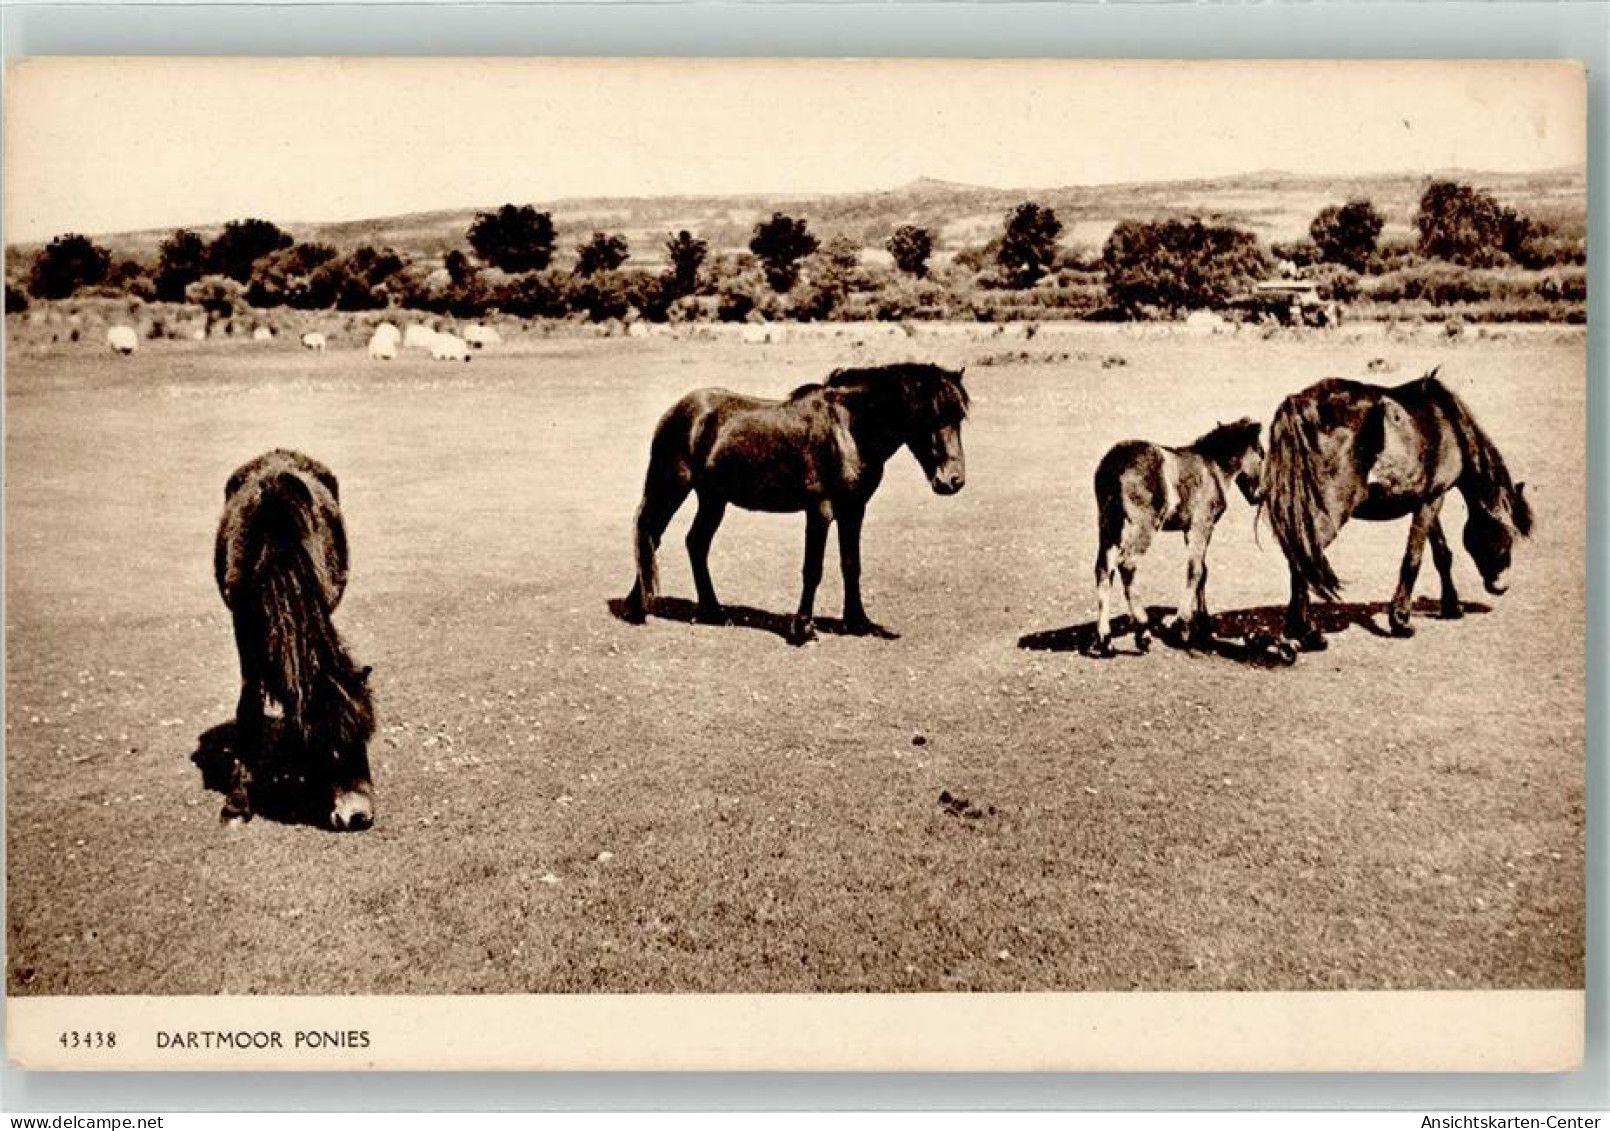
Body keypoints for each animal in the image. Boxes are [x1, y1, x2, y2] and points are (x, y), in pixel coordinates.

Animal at [214, 451, 376, 831]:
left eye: (364, 739)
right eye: (330, 748)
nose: (358, 816)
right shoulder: (242, 625)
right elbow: (249, 707)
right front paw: (236, 805)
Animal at [618, 365, 966, 647]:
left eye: (960, 417)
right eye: (931, 415)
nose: (953, 481)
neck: (848, 430)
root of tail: (676, 410)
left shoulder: (854, 509)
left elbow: (851, 564)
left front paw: (858, 622)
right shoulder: (821, 509)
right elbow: (813, 569)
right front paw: (803, 629)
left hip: (713, 498)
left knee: (694, 543)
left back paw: (712, 611)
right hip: (672, 487)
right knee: (651, 534)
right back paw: (638, 608)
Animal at [1088, 415, 1262, 657]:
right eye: (1262, 455)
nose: (1260, 495)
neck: (1213, 467)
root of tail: (1113, 466)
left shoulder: (1191, 530)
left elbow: (1203, 571)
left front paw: (1203, 622)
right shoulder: (1200, 526)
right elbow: (1195, 571)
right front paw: (1182, 626)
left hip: (1109, 524)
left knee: (1104, 569)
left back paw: (1106, 640)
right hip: (1143, 525)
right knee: (1127, 564)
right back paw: (1142, 632)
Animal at [1255, 370, 1532, 657]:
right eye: (1508, 535)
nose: (1501, 586)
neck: (1449, 422)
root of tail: (1298, 404)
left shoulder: (1427, 498)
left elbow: (1442, 555)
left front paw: (1452, 607)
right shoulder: (1432, 499)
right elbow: (1413, 559)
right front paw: (1400, 621)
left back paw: (1296, 630)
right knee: (1305, 558)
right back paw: (1309, 633)